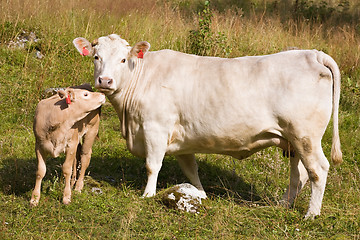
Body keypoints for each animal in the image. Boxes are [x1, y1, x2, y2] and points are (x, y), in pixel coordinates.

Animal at [73, 34, 344, 219]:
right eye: (96, 57)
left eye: (123, 59)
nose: (105, 80)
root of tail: (313, 53)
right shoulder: (181, 140)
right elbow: (191, 170)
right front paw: (200, 194)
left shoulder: (155, 128)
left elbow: (152, 166)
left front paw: (147, 195)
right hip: (292, 140)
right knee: (298, 176)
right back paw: (283, 204)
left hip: (305, 136)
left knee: (318, 170)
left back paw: (311, 214)